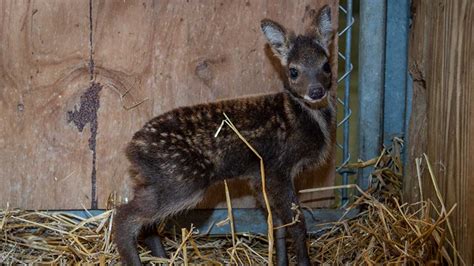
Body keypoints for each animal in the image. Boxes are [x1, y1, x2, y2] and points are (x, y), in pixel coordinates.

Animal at [114, 4, 336, 266]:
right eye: (293, 71)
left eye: (326, 65)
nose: (316, 91)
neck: (301, 117)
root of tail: (133, 150)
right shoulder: (277, 169)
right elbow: (297, 223)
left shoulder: (258, 177)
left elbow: (277, 224)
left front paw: (280, 261)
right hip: (182, 180)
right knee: (125, 216)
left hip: (159, 181)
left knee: (145, 223)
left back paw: (164, 257)